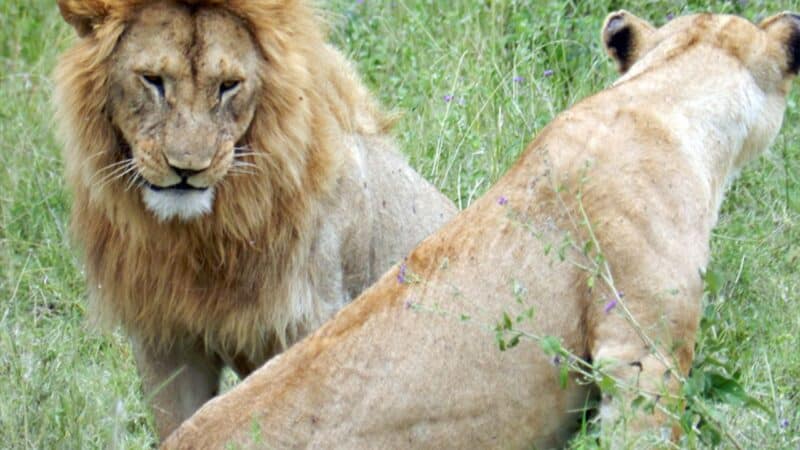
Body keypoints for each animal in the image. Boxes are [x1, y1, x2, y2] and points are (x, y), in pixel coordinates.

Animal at [53, 0, 456, 441]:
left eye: (228, 85)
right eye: (153, 80)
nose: (187, 169)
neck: (200, 237)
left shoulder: (312, 322)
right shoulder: (165, 339)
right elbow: (180, 426)